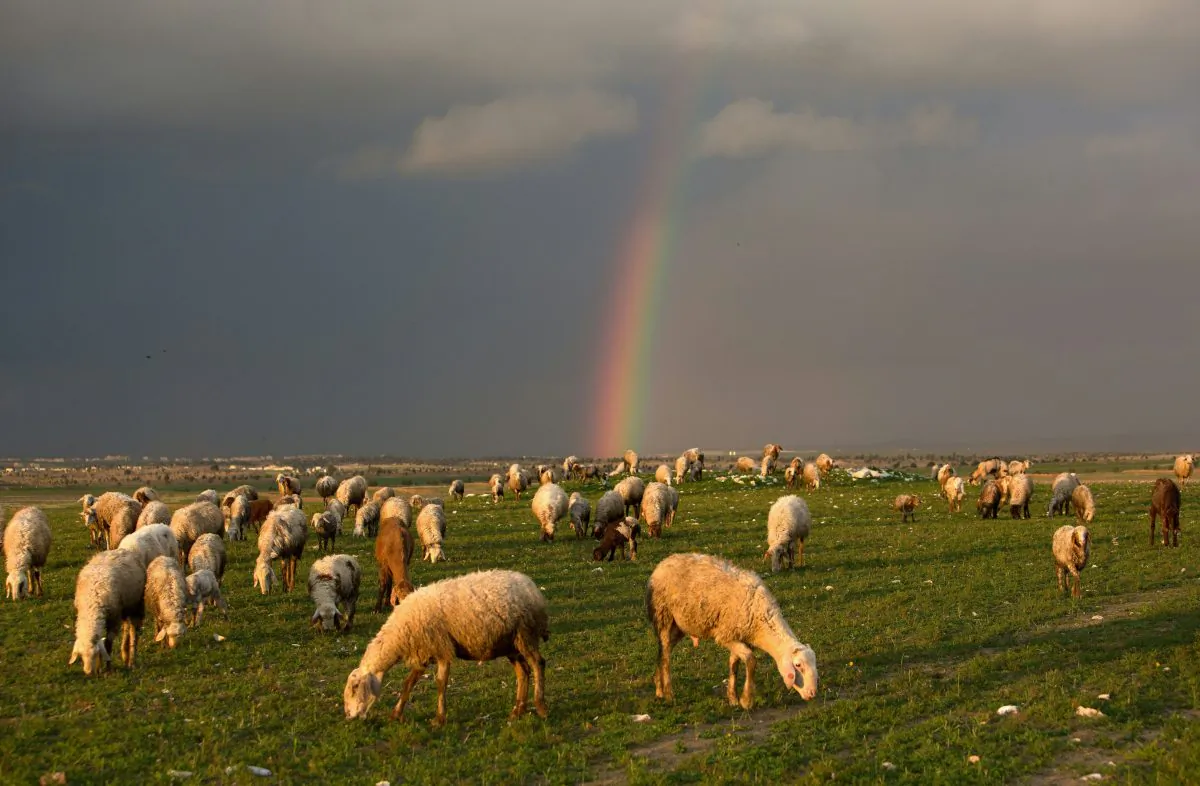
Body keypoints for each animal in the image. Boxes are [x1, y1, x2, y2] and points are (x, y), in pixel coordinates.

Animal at [344, 569, 549, 726]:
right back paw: (518, 710)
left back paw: (540, 707)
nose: (349, 716)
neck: (400, 632)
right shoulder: (423, 652)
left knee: (538, 664)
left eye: (355, 687)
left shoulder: (441, 648)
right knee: (523, 672)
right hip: (511, 644)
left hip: (525, 634)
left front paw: (439, 719)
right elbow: (408, 683)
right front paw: (396, 714)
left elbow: (441, 683)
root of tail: (533, 588)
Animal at [646, 552, 819, 709]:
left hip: (680, 625)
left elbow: (734, 665)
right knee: (666, 655)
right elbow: (751, 661)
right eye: (798, 666)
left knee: (663, 651)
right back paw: (669, 694)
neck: (762, 621)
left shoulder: (738, 636)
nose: (812, 694)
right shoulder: (725, 636)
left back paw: (659, 688)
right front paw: (746, 700)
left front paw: (733, 698)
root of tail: (663, 562)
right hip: (663, 616)